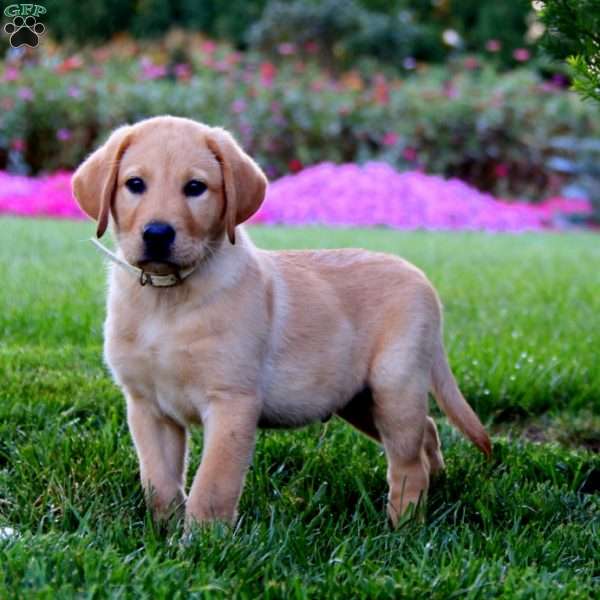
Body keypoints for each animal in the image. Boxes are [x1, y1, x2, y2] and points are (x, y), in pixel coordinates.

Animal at [71, 115, 492, 528]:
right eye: (135, 184)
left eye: (195, 188)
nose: (157, 233)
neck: (166, 299)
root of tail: (421, 279)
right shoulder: (147, 406)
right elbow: (159, 482)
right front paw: (164, 534)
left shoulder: (232, 402)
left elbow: (212, 486)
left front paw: (204, 542)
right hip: (358, 398)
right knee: (428, 433)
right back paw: (439, 486)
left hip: (394, 386)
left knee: (408, 462)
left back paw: (404, 525)